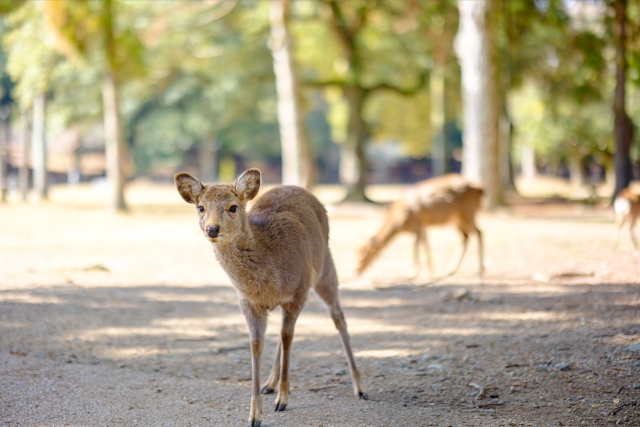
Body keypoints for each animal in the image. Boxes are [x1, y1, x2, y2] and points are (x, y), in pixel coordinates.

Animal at [175, 170, 364, 427]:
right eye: (201, 207)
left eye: (233, 207)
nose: (212, 229)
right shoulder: (247, 301)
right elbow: (257, 344)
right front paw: (255, 415)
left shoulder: (298, 292)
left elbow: (287, 337)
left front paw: (282, 400)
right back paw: (269, 385)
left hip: (325, 267)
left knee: (337, 317)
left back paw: (359, 388)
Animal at [356, 173, 484, 278]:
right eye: (357, 254)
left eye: (363, 256)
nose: (356, 271)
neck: (399, 222)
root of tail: (481, 189)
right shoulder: (423, 227)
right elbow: (425, 245)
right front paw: (431, 272)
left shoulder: (417, 226)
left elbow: (416, 247)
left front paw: (413, 274)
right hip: (457, 219)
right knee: (466, 236)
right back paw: (451, 269)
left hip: (467, 213)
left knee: (479, 231)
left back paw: (480, 270)